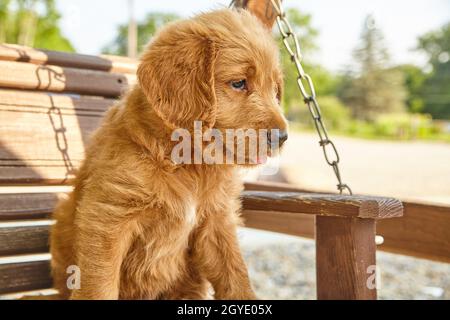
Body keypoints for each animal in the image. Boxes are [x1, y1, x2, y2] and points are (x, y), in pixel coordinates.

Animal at [49, 9, 288, 300]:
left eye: (275, 90)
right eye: (239, 83)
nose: (282, 137)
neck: (189, 163)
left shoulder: (217, 222)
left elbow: (236, 274)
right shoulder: (107, 218)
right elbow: (99, 284)